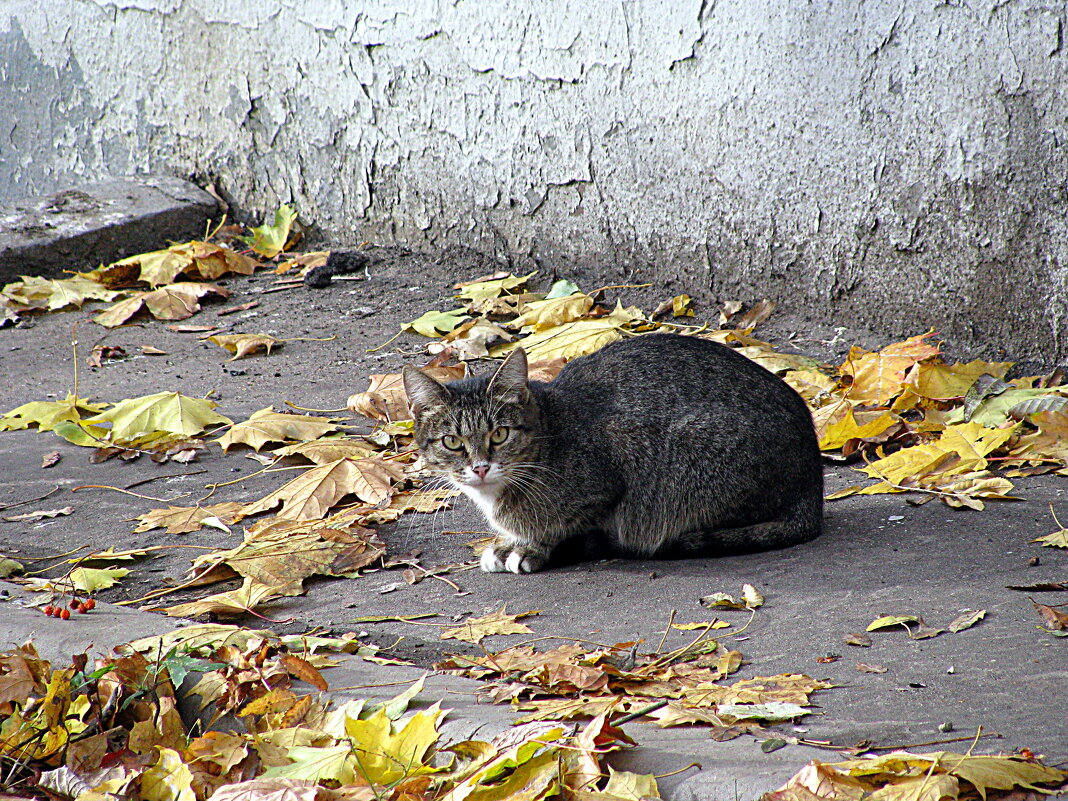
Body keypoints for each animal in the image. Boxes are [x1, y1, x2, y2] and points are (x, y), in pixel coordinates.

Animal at [401, 335, 824, 572]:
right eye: (452, 443)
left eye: (500, 434)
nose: (480, 468)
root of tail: (813, 487)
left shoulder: (609, 484)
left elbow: (568, 526)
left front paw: (534, 548)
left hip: (690, 457)